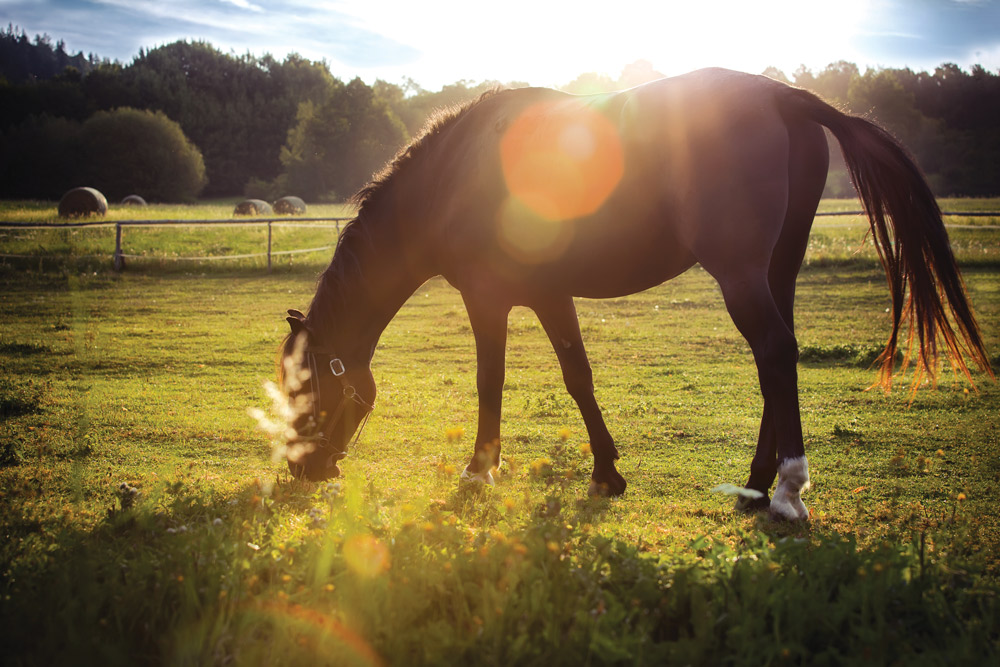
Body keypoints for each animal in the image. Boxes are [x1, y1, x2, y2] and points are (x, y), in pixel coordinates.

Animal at [276, 68, 992, 520]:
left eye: (308, 388)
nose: (304, 472)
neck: (455, 175)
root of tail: (784, 96)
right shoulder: (549, 296)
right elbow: (579, 376)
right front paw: (607, 473)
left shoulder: (489, 299)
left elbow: (492, 382)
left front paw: (480, 471)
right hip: (776, 270)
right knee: (777, 359)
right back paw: (756, 485)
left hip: (740, 275)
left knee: (774, 351)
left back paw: (788, 491)